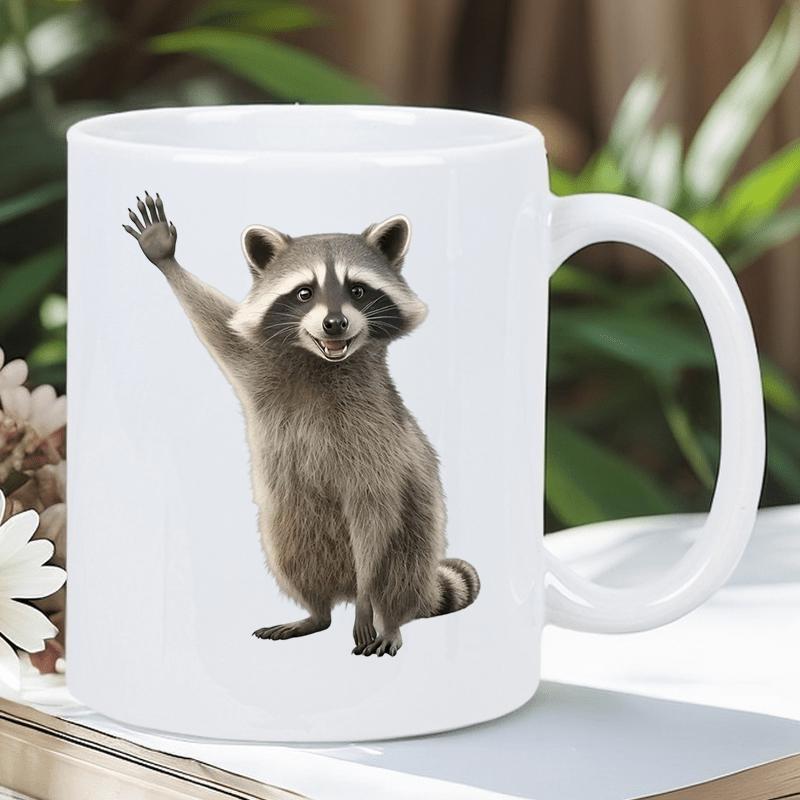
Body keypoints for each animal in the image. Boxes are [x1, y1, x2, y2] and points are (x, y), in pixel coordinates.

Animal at [123, 192, 479, 656]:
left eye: (358, 290)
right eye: (304, 293)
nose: (335, 323)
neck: (321, 360)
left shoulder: (377, 438)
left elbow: (375, 510)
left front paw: (369, 605)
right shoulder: (262, 366)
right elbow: (219, 327)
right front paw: (166, 257)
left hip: (417, 533)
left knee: (395, 566)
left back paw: (386, 616)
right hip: (291, 526)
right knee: (294, 560)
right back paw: (316, 613)